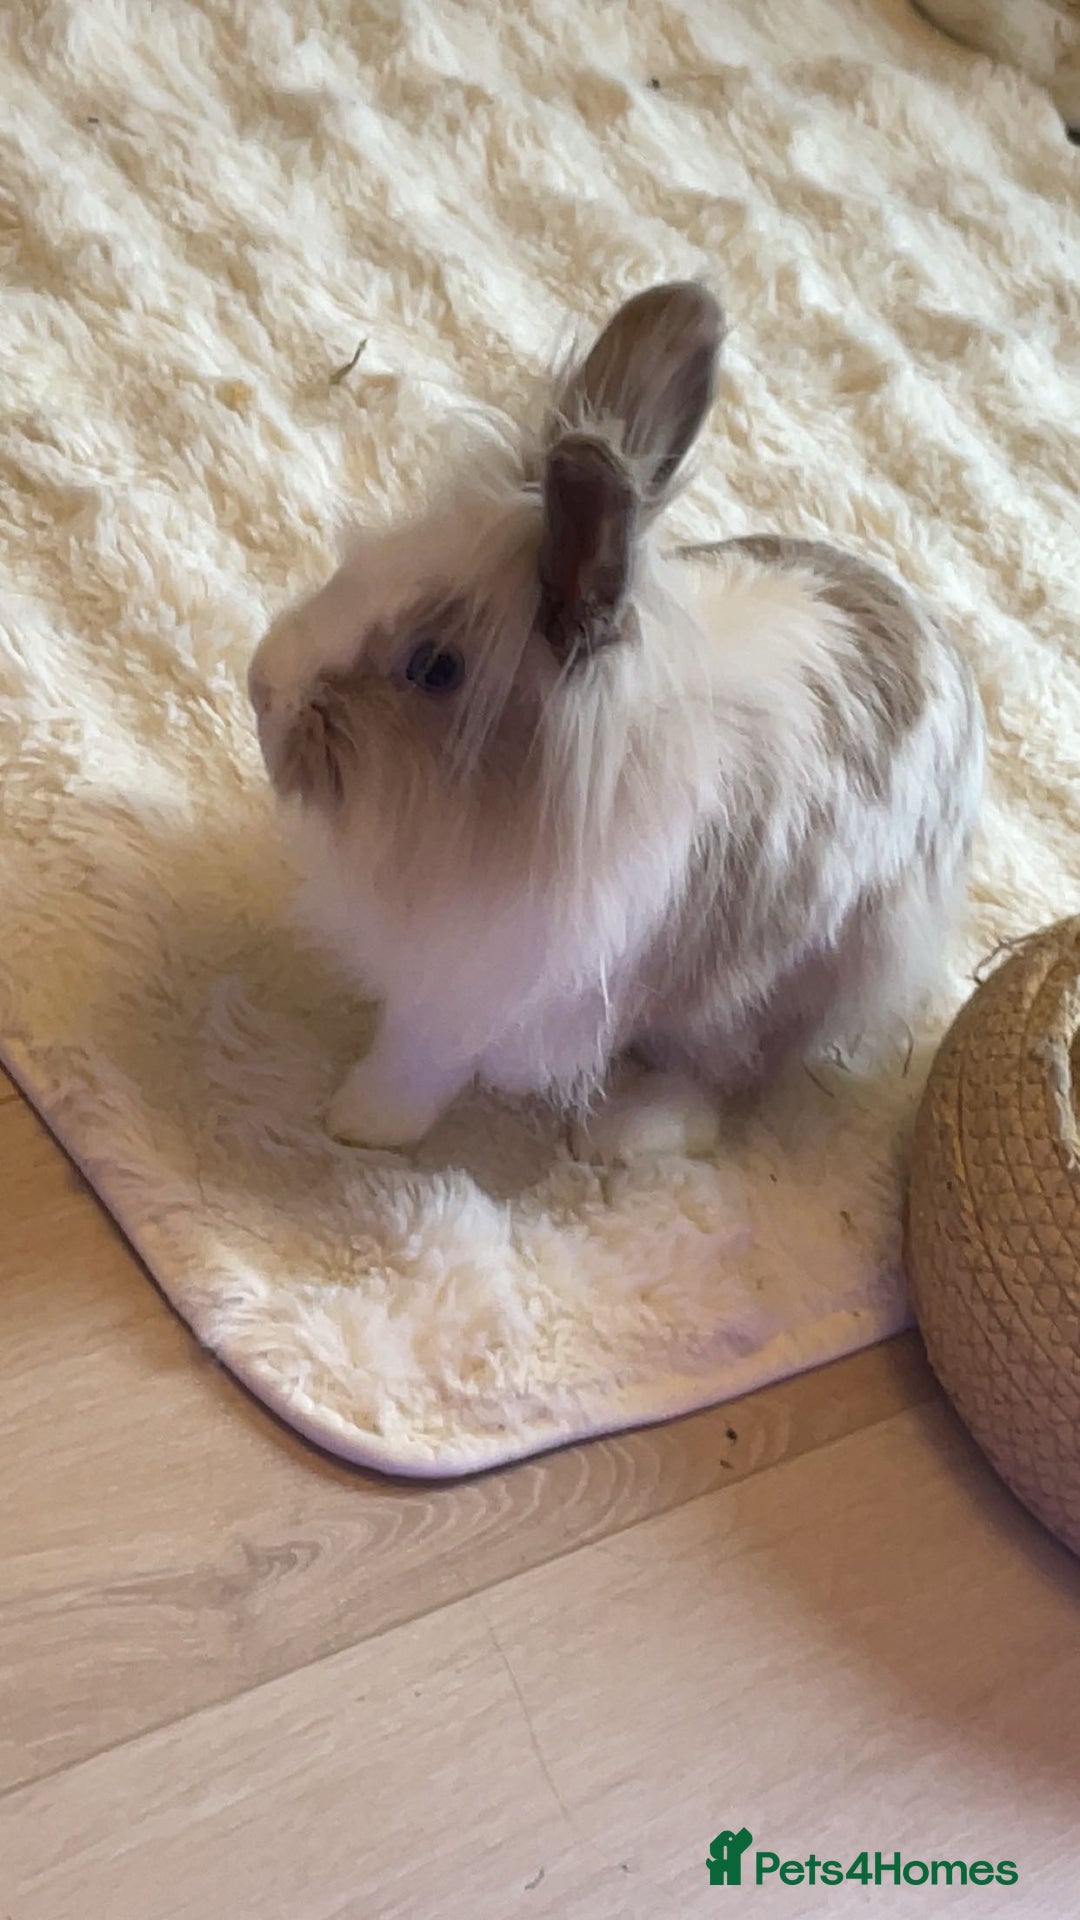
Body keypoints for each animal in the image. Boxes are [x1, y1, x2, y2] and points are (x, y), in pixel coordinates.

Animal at [249, 280, 984, 1162]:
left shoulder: (486, 987)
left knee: (720, 1091)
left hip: (771, 991)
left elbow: (419, 1060)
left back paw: (621, 1135)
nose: (261, 689)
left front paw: (358, 1122)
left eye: (434, 667)